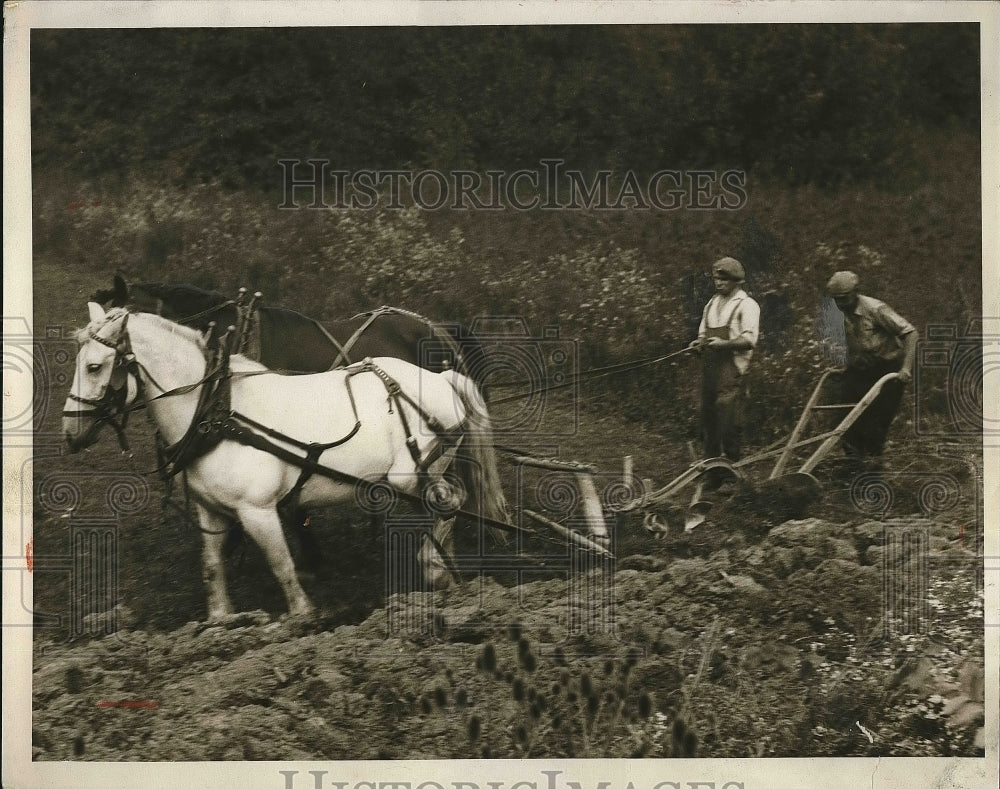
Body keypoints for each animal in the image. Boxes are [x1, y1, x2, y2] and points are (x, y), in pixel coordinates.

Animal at [64, 304, 508, 620]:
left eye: (94, 366)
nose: (69, 432)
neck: (217, 413)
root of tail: (442, 378)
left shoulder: (258, 510)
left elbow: (282, 565)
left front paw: (302, 616)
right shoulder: (211, 511)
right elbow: (212, 568)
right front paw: (221, 622)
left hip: (414, 473)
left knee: (451, 502)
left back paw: (435, 567)